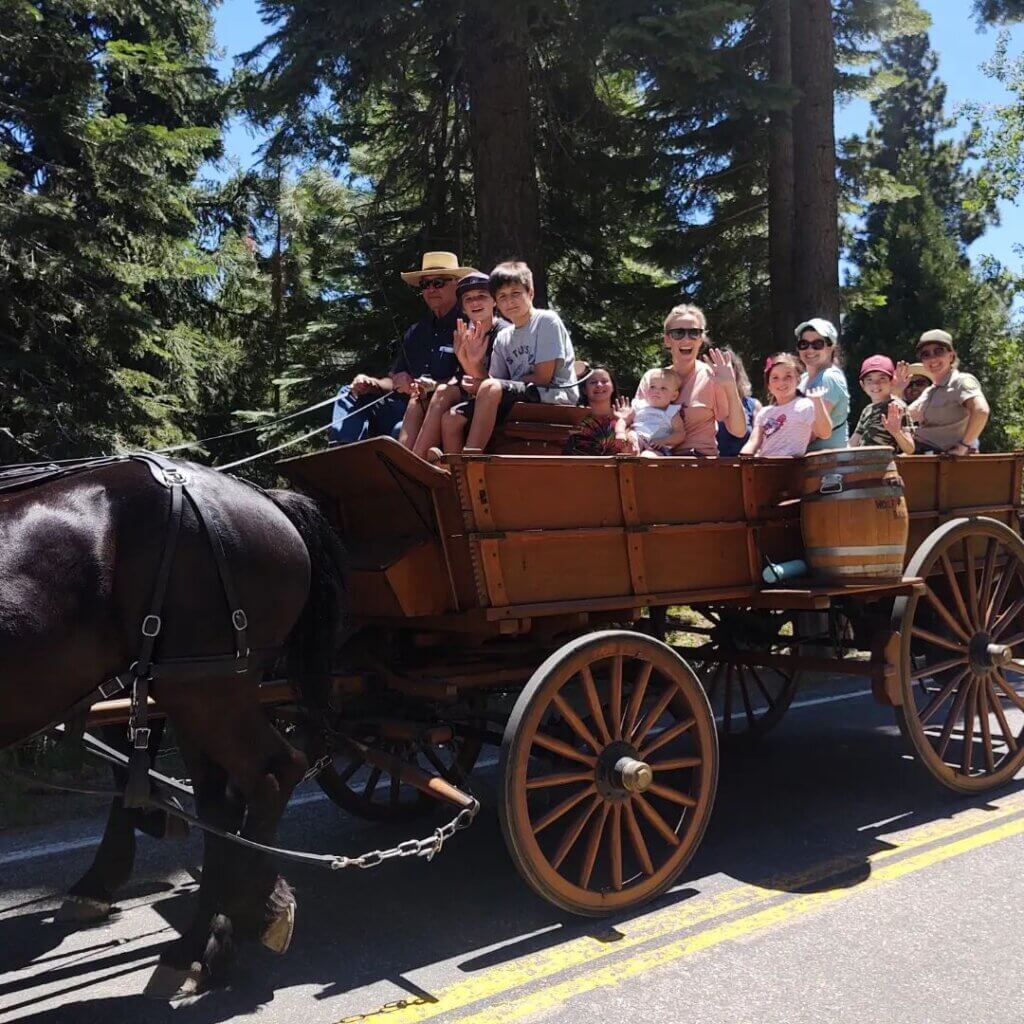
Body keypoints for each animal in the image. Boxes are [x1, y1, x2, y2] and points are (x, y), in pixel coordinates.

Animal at [0, 458, 348, 999]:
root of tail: (264, 498)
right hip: (192, 689)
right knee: (222, 801)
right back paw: (204, 941)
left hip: (205, 685)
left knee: (270, 772)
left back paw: (249, 907)